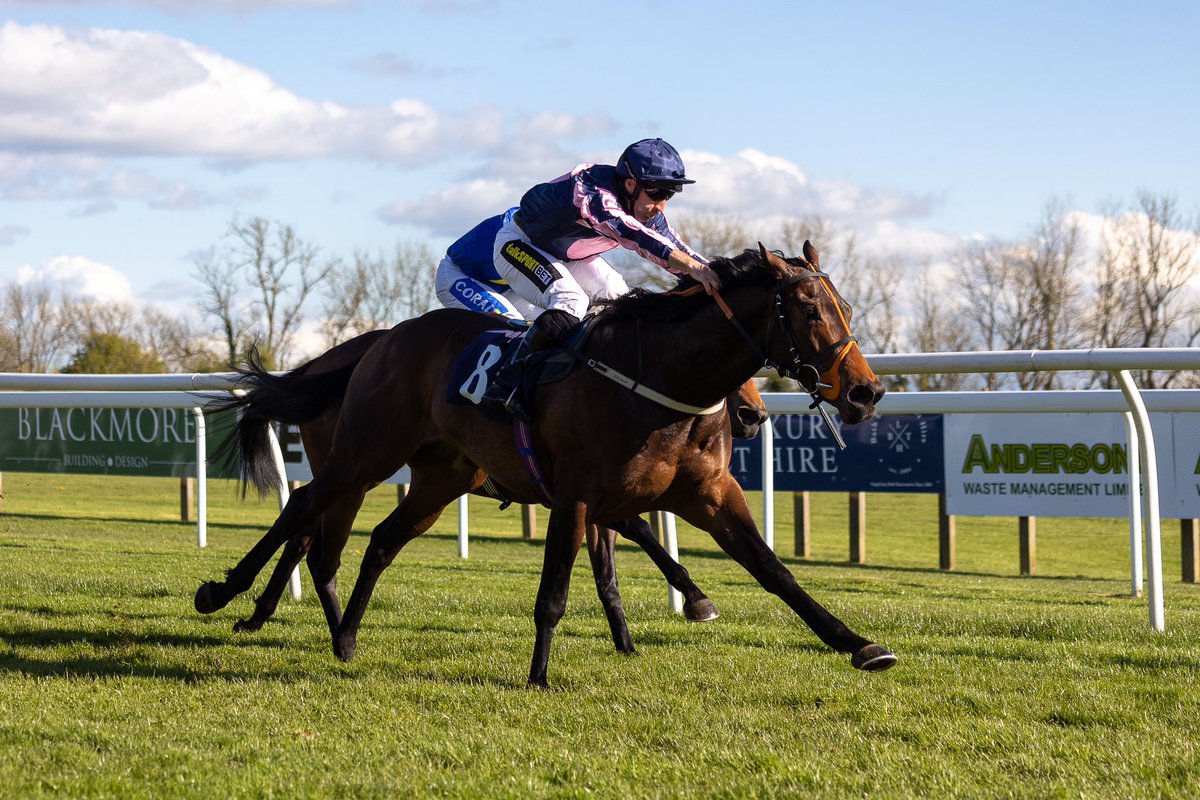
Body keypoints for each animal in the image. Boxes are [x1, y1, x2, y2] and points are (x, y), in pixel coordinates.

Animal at [218, 321, 768, 642]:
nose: (753, 415)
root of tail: (326, 362)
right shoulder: (578, 485)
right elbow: (639, 532)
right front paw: (694, 597)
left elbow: (615, 556)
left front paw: (637, 629)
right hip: (356, 463)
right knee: (305, 522)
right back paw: (253, 602)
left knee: (308, 531)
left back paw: (273, 614)